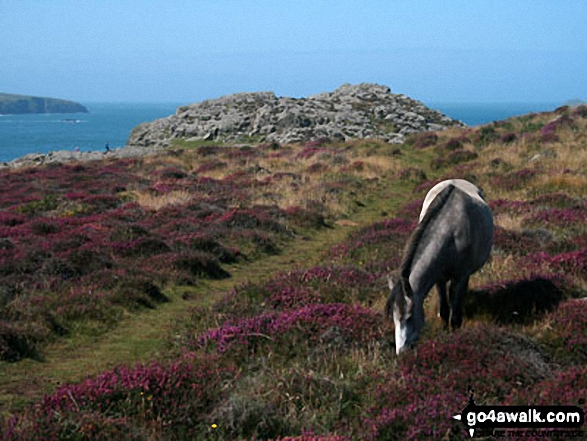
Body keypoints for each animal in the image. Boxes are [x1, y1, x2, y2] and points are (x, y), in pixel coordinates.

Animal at [384, 179, 494, 354]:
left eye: (409, 317)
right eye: (393, 318)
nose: (402, 352)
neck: (451, 234)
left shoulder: (460, 276)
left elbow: (454, 305)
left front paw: (454, 332)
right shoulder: (438, 278)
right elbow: (443, 308)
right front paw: (444, 330)